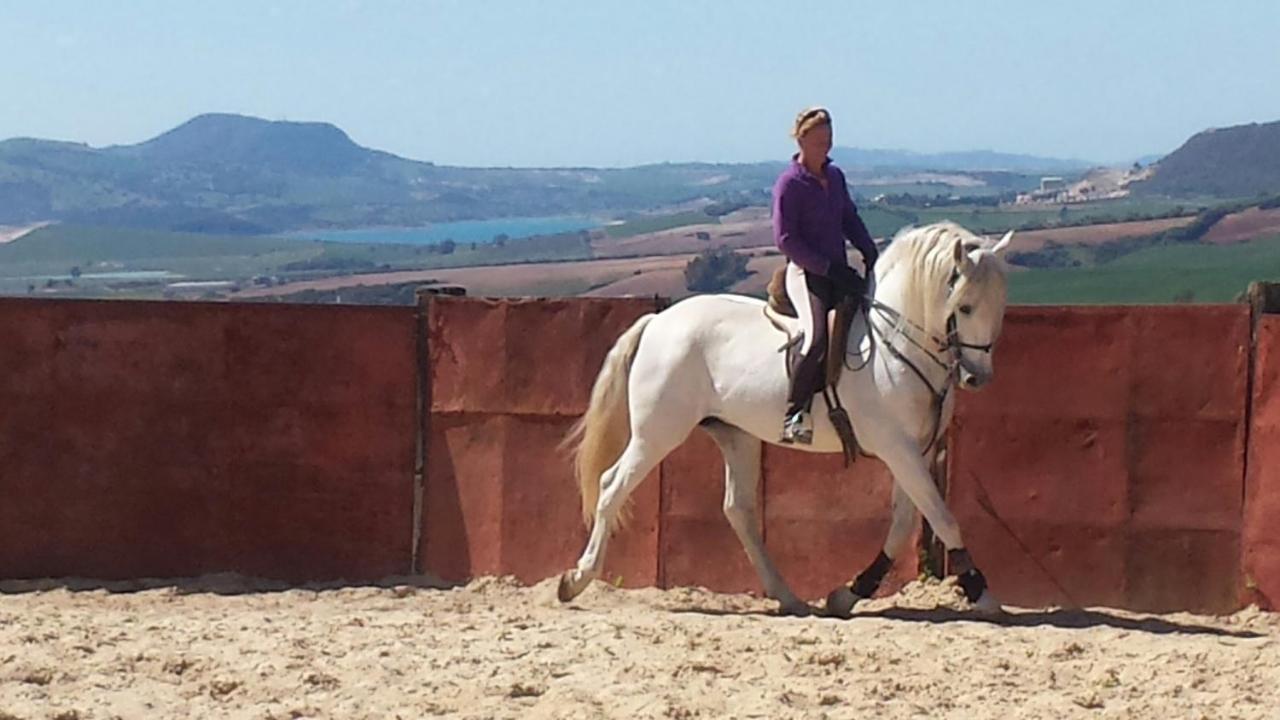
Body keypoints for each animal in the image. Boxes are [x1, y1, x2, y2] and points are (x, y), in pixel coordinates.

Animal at [555, 221, 1013, 614]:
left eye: (999, 306)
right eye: (964, 307)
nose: (977, 377)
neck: (895, 343)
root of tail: (658, 321)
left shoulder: (916, 450)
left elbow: (905, 524)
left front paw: (847, 594)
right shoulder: (897, 449)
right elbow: (943, 518)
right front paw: (982, 594)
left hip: (735, 435)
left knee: (738, 509)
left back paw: (788, 597)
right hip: (657, 433)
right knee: (611, 485)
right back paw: (576, 580)